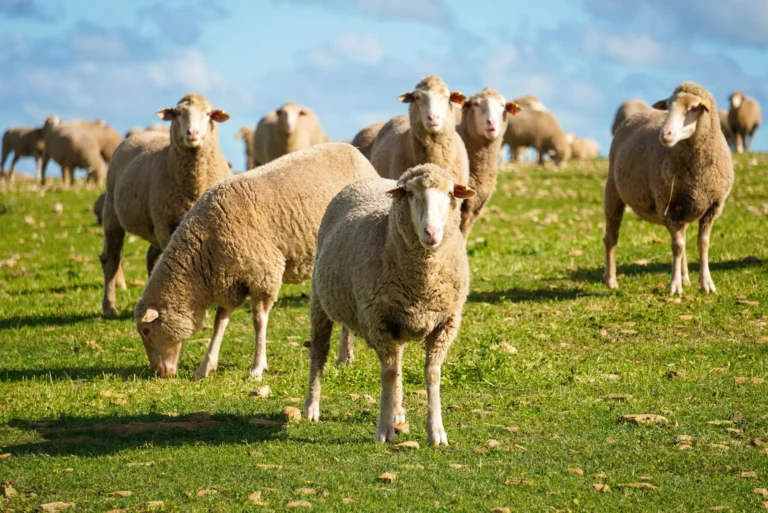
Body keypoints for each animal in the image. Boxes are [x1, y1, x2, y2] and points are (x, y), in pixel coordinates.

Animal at [100, 93, 231, 318]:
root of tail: (139, 134)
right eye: (178, 113)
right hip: (114, 215)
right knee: (112, 260)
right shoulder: (165, 225)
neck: (194, 185)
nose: (192, 133)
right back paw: (109, 307)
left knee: (151, 258)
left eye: (208, 114)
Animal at [134, 142, 378, 379]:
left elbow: (259, 321)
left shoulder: (263, 273)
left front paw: (257, 367)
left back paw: (344, 356)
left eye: (146, 331)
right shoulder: (228, 282)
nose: (159, 373)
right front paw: (205, 367)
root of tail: (353, 150)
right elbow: (219, 322)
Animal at [303, 164, 475, 445]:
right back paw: (311, 407)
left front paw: (436, 431)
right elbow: (388, 374)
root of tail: (365, 181)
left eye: (450, 193)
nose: (431, 233)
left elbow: (431, 373)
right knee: (319, 351)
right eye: (410, 194)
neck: (423, 281)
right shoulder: (377, 322)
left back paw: (398, 411)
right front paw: (384, 430)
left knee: (398, 361)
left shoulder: (445, 324)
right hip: (319, 301)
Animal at [604, 81, 734, 296]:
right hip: (613, 191)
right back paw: (610, 280)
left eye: (693, 108)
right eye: (667, 107)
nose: (665, 135)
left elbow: (702, 243)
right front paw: (675, 286)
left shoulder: (713, 207)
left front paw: (706, 283)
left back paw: (686, 277)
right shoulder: (668, 205)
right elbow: (677, 246)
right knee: (611, 237)